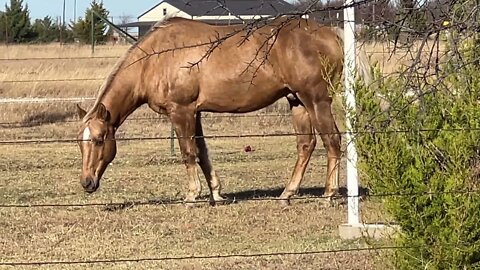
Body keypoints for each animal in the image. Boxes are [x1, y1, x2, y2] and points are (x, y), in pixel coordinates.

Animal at [77, 16, 372, 206]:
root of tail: (330, 32)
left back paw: (329, 194)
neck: (156, 58)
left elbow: (188, 153)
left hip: (316, 100)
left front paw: (192, 195)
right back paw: (287, 194)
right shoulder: (195, 114)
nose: (87, 182)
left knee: (332, 141)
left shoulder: (181, 112)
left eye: (100, 140)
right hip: (296, 102)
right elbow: (203, 154)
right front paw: (216, 194)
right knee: (306, 145)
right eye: (80, 144)